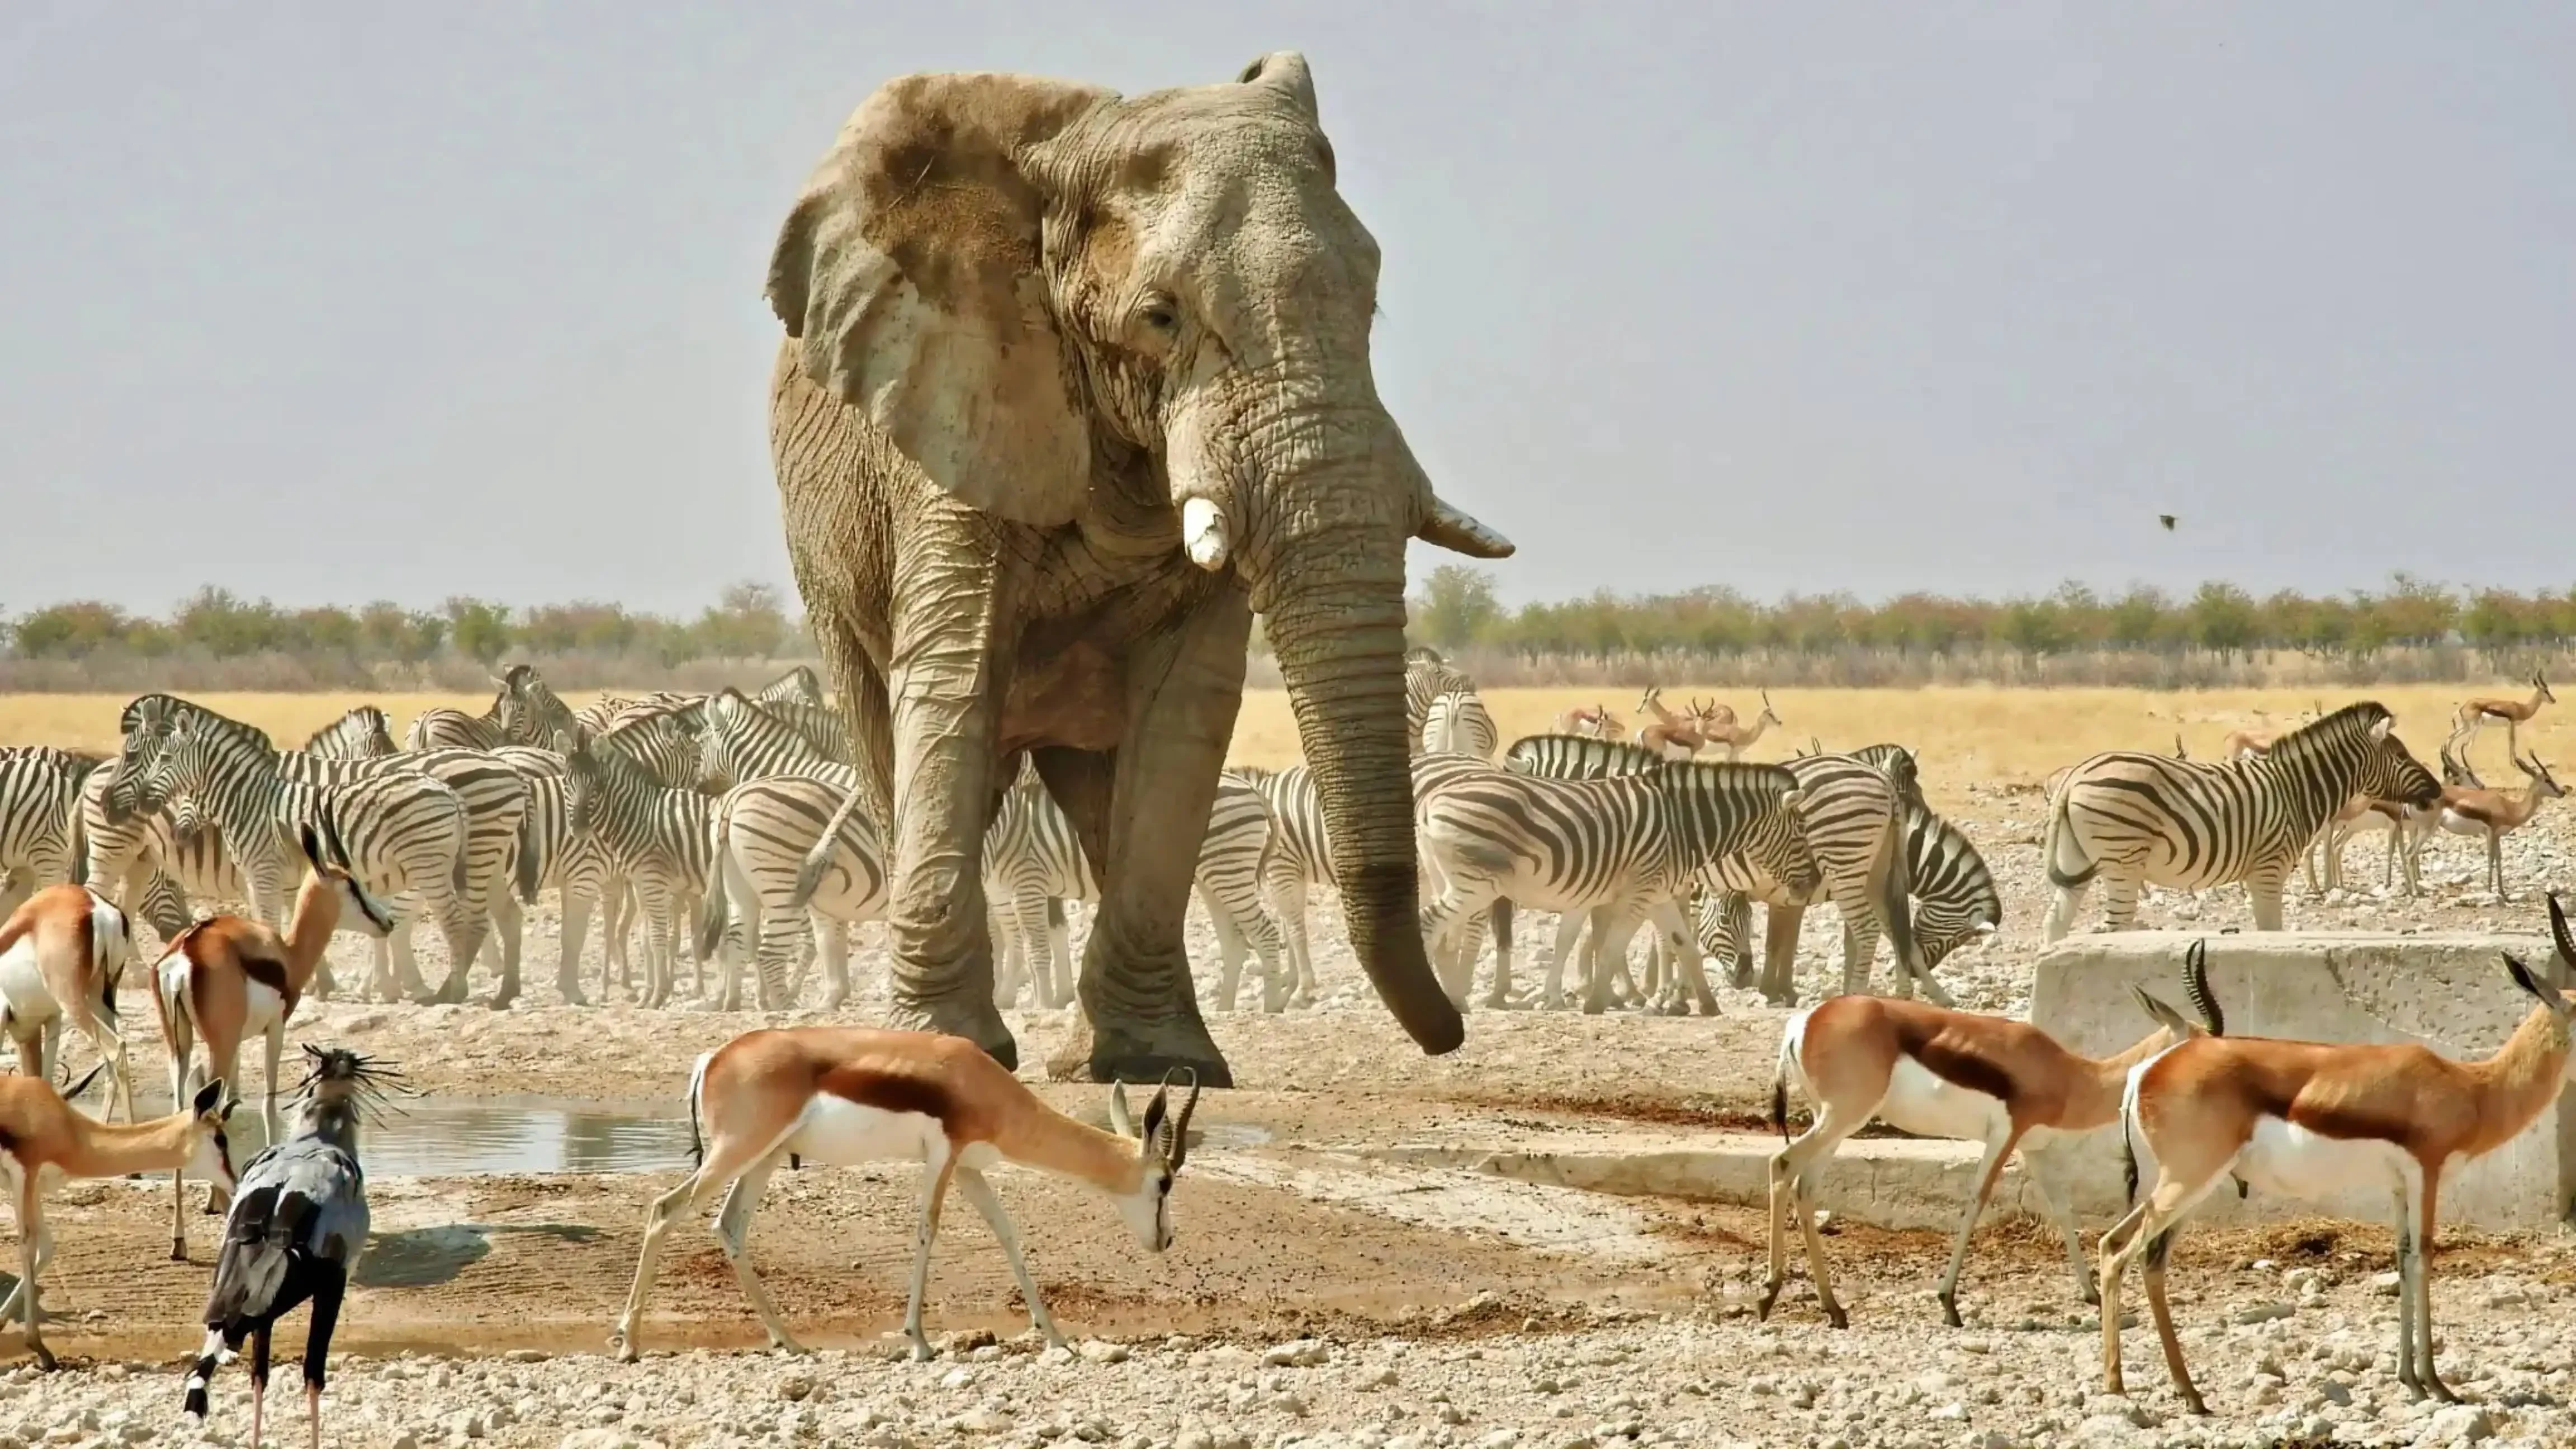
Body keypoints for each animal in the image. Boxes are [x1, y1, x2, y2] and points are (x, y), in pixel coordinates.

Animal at [764, 53, 1512, 1085]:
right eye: (1160, 317)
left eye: (1369, 306)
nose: (1449, 1033)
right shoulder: (954, 406)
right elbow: (954, 674)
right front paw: (948, 1054)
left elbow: (1186, 711)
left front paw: (1159, 1068)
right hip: (825, 565)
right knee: (890, 744)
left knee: (1096, 796)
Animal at [1415, 757, 1810, 1014]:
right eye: (1800, 834)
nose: (1813, 884)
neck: (1682, 825)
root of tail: (1429, 799)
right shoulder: (1639, 894)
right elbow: (1611, 946)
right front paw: (1596, 1002)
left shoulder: (1658, 895)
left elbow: (1685, 947)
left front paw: (1708, 1005)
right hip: (1477, 884)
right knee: (1430, 924)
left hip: (1449, 879)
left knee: (1443, 938)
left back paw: (1454, 1002)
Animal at [2043, 700, 2443, 940]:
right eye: (2402, 756)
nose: (2438, 790)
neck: (2297, 788)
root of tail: (2075, 775)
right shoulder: (2270, 868)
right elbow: (2271, 930)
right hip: (2123, 861)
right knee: (2115, 927)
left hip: (2077, 859)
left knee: (2055, 924)